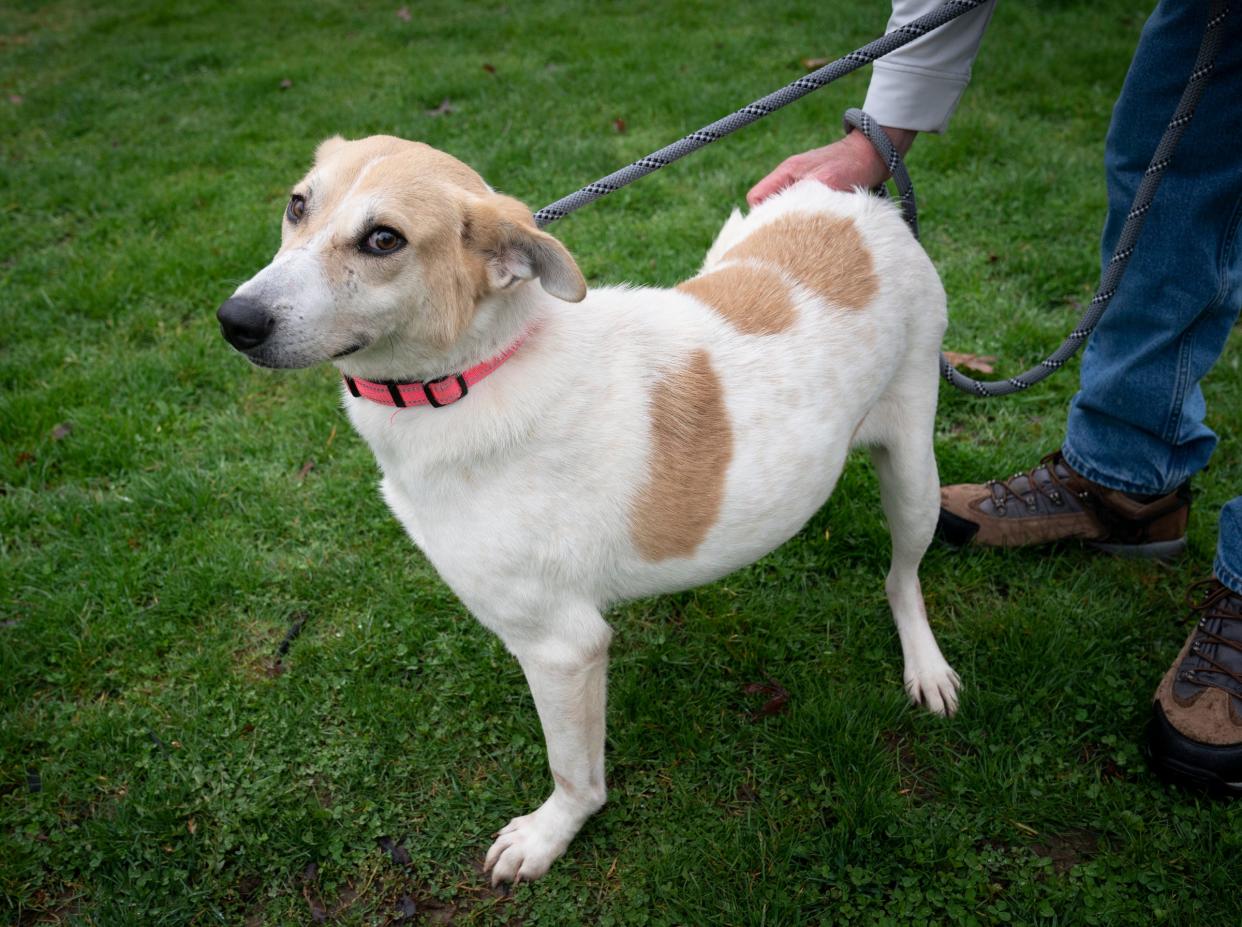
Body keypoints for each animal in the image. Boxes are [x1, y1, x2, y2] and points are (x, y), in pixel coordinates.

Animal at [218, 135, 963, 879]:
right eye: (298, 205)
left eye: (383, 239)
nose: (236, 321)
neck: (477, 371)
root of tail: (865, 205)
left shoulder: (561, 647)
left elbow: (574, 771)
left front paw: (550, 834)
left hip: (914, 475)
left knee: (901, 578)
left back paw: (926, 667)